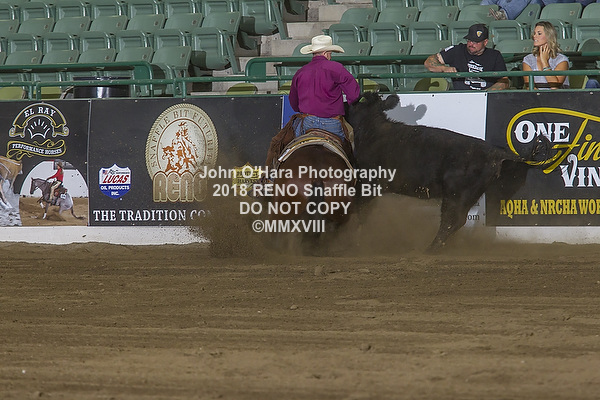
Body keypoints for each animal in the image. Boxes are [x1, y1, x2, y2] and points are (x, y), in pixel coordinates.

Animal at [346, 93, 552, 251]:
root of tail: (495, 152)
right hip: (481, 195)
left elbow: (360, 210)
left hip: (456, 195)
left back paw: (431, 248)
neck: (374, 132)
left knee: (451, 221)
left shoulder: (368, 184)